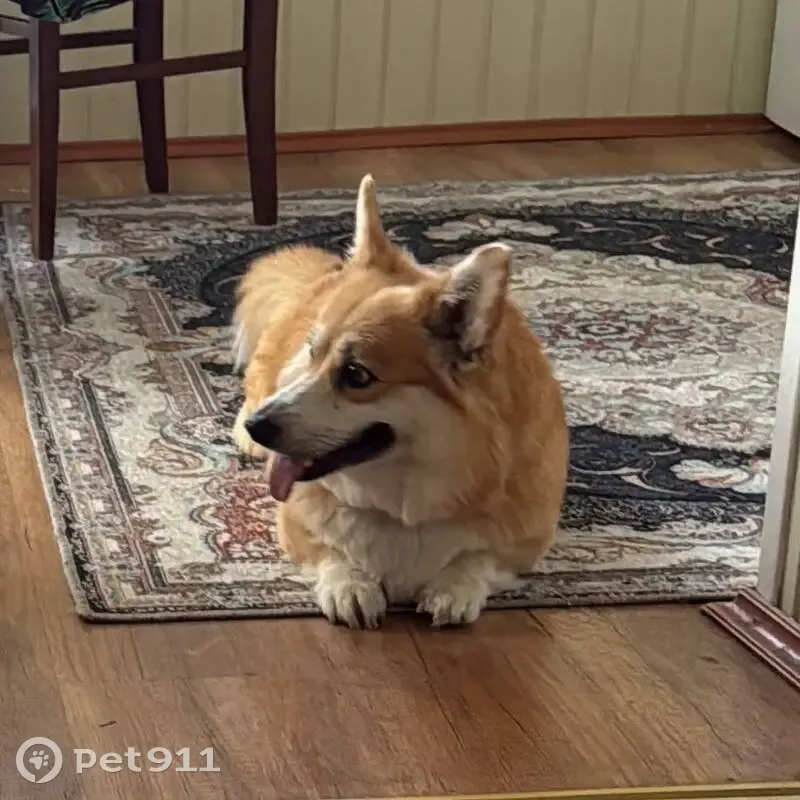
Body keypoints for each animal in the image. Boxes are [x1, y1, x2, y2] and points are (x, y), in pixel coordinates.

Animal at [232, 175, 569, 629]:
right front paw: (351, 585)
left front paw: (454, 589)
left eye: (357, 375)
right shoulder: (297, 526)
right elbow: (331, 553)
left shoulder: (526, 541)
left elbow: (478, 560)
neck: (406, 503)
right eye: (313, 352)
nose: (260, 428)